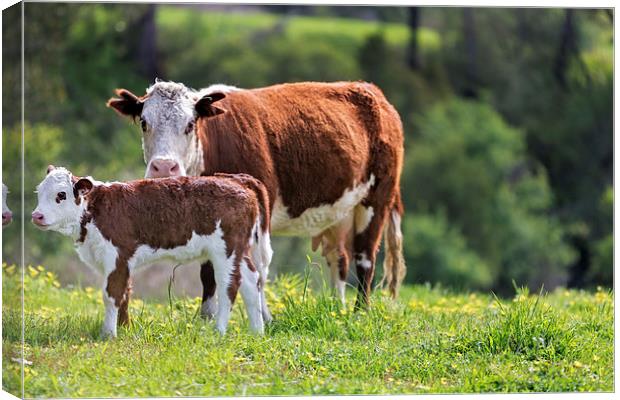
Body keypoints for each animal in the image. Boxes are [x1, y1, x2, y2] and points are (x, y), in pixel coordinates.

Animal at [32, 166, 272, 338]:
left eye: (61, 194)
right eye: (39, 192)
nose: (37, 215)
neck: (93, 213)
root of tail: (236, 179)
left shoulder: (116, 255)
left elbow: (112, 295)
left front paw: (109, 334)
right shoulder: (122, 261)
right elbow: (125, 294)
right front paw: (125, 329)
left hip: (226, 250)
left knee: (229, 285)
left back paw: (219, 331)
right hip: (239, 250)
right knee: (251, 281)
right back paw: (257, 332)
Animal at [108, 80, 406, 310]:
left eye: (190, 124)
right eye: (144, 122)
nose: (163, 167)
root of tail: (372, 92)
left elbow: (255, 268)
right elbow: (208, 272)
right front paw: (205, 317)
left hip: (377, 198)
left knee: (365, 258)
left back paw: (360, 312)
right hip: (338, 211)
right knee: (339, 259)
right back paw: (337, 309)